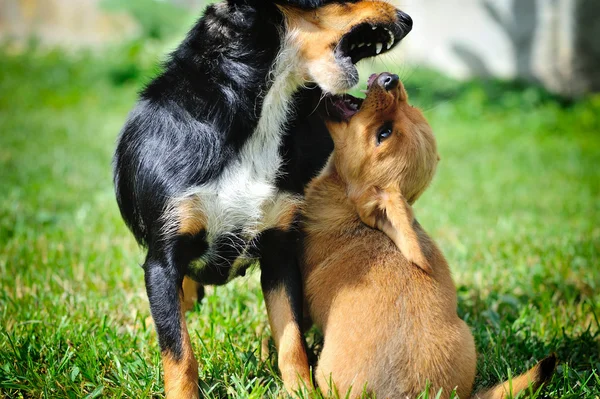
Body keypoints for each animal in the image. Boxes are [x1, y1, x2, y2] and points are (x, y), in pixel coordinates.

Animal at [112, 0, 412, 396]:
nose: (409, 20)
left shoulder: (279, 253)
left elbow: (292, 341)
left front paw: (301, 390)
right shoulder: (163, 259)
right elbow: (178, 351)